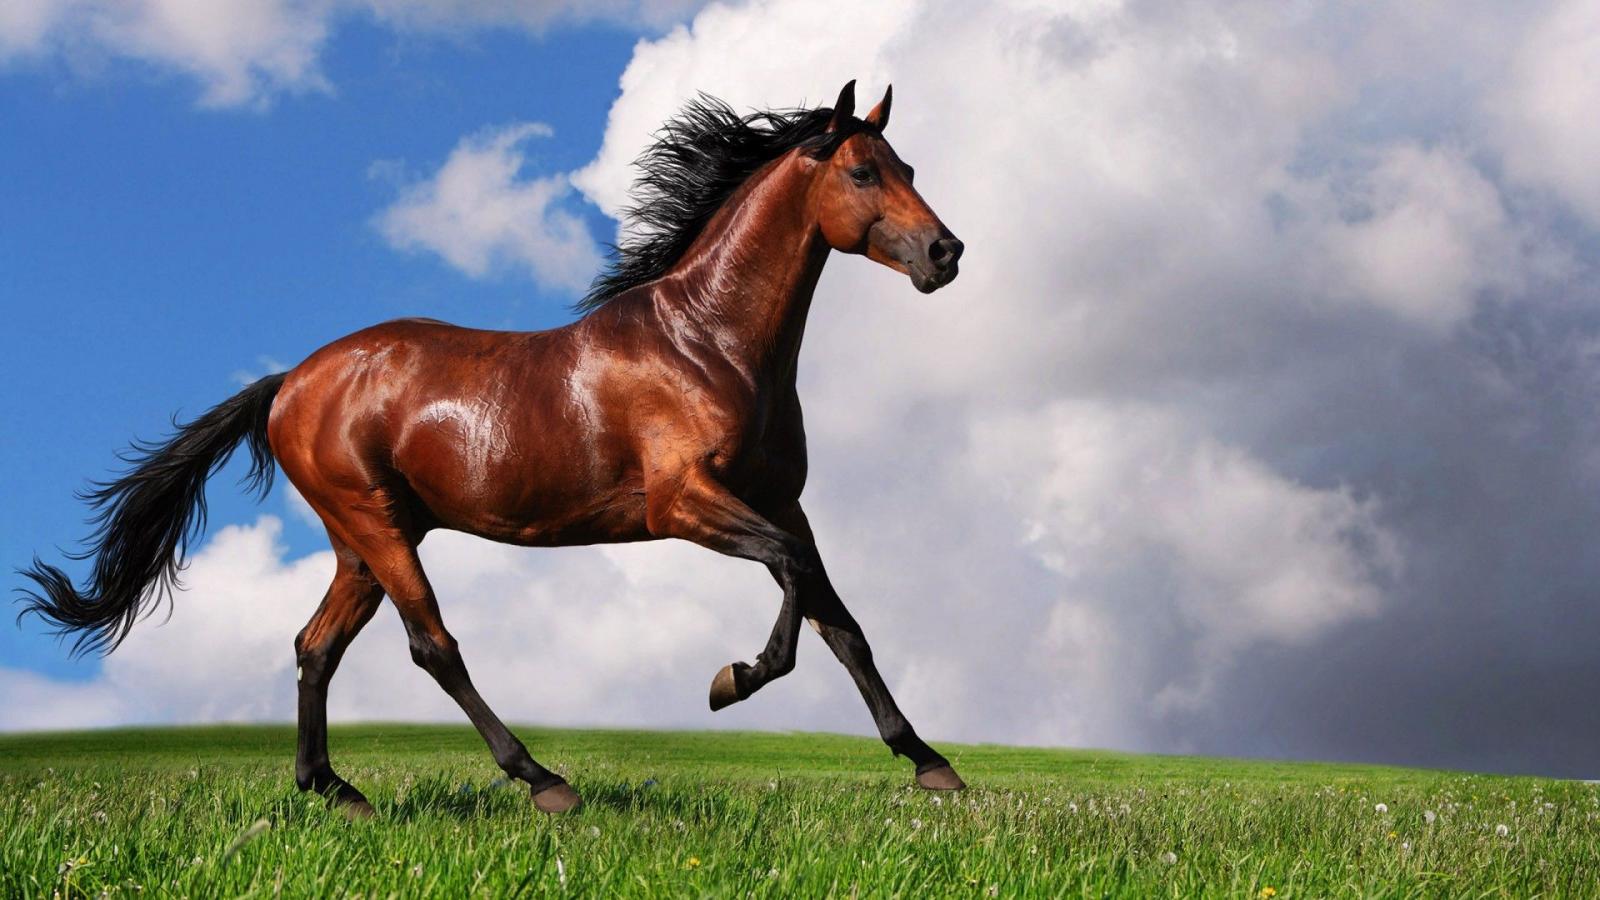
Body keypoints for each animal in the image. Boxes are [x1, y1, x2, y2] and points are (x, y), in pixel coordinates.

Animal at [18, 80, 966, 815]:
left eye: (910, 169)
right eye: (863, 170)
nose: (945, 252)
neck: (709, 342)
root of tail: (290, 382)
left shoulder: (781, 501)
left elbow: (841, 621)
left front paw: (930, 763)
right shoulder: (685, 503)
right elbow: (795, 587)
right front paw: (731, 679)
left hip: (362, 540)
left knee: (316, 646)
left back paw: (337, 791)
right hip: (375, 525)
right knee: (432, 644)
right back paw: (543, 780)